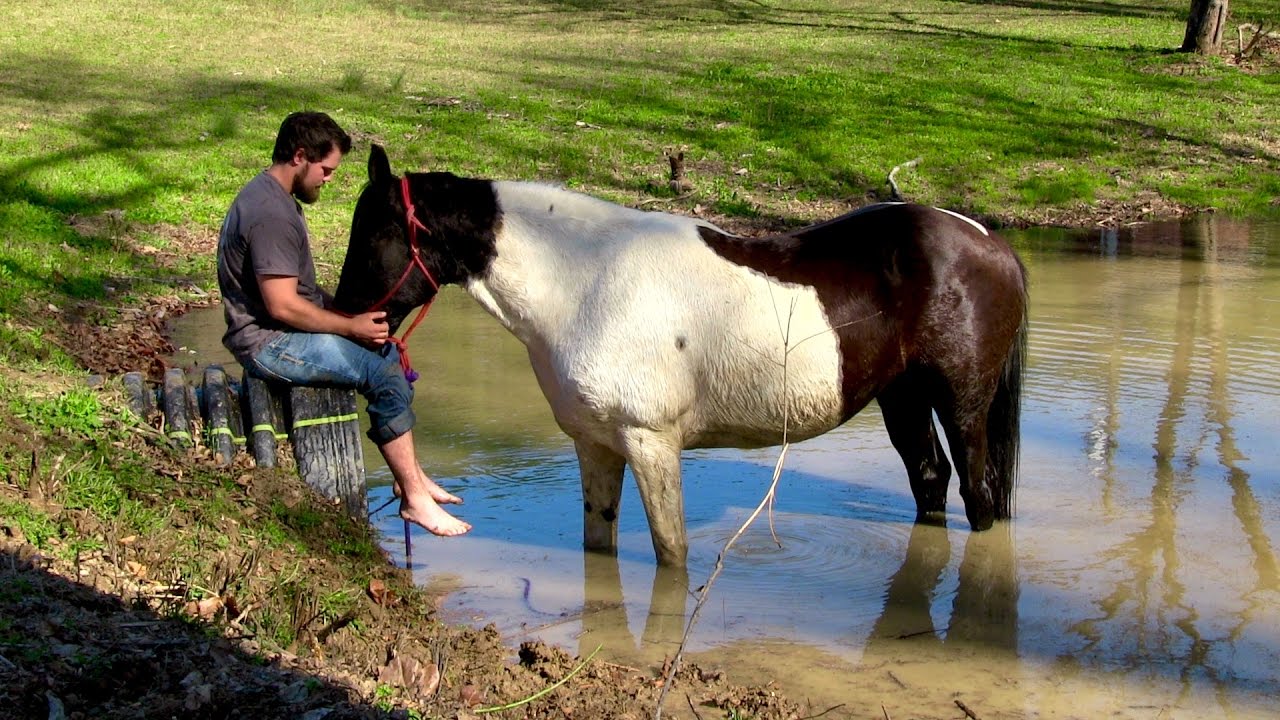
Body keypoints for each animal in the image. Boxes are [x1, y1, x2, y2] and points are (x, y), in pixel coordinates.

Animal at [334, 144, 1029, 567]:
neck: (585, 279)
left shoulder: (651, 444)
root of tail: (987, 241)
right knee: (930, 479)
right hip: (901, 397)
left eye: (374, 236)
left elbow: (671, 553)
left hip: (961, 404)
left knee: (978, 493)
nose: (346, 323)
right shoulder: (596, 445)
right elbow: (599, 543)